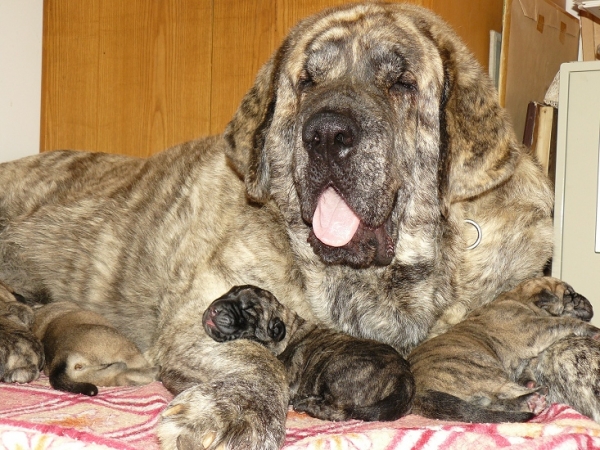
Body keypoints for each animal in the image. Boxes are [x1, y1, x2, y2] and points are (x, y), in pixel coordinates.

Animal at [204, 284, 414, 422]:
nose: (214, 309)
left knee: (340, 412)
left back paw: (305, 404)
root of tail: (405, 379)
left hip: (338, 368)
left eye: (248, 310)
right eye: (230, 292)